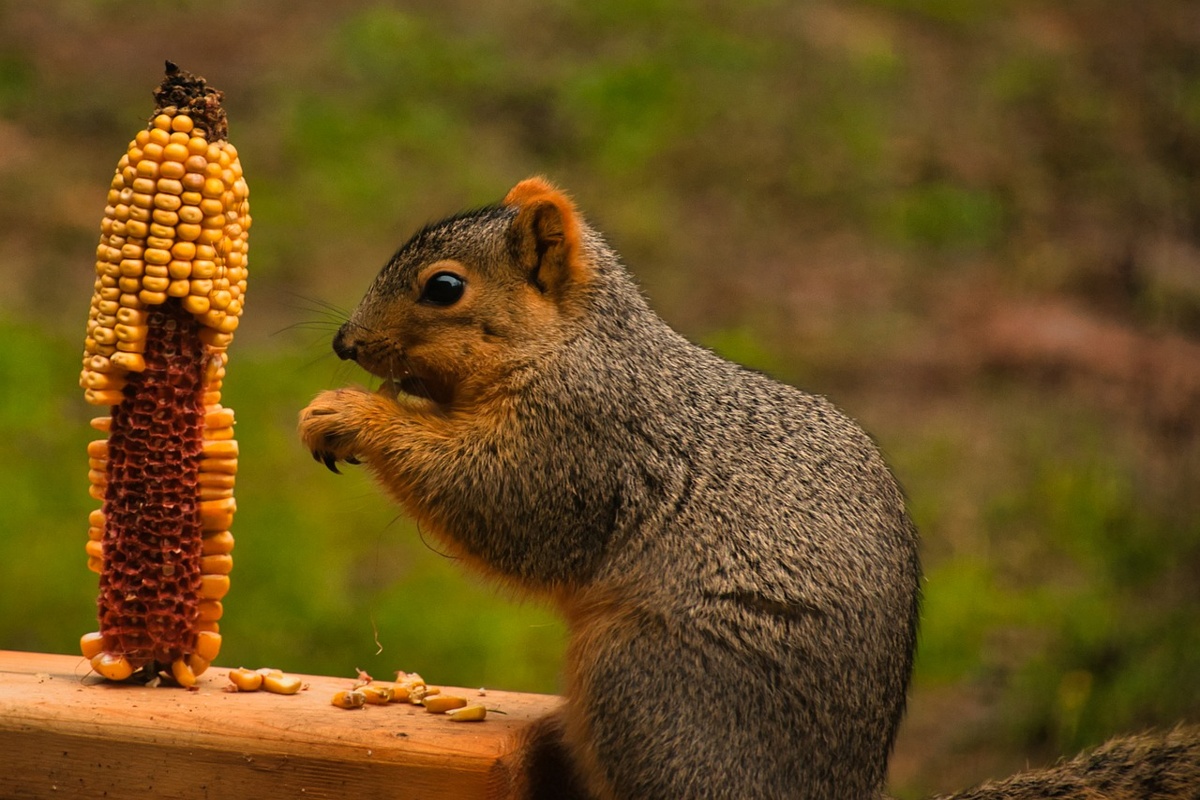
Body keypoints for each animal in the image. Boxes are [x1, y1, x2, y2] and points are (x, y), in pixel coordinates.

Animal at [300, 178, 1200, 796]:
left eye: (445, 287)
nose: (345, 344)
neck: (573, 341)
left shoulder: (581, 440)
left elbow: (501, 501)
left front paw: (351, 414)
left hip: (649, 690)